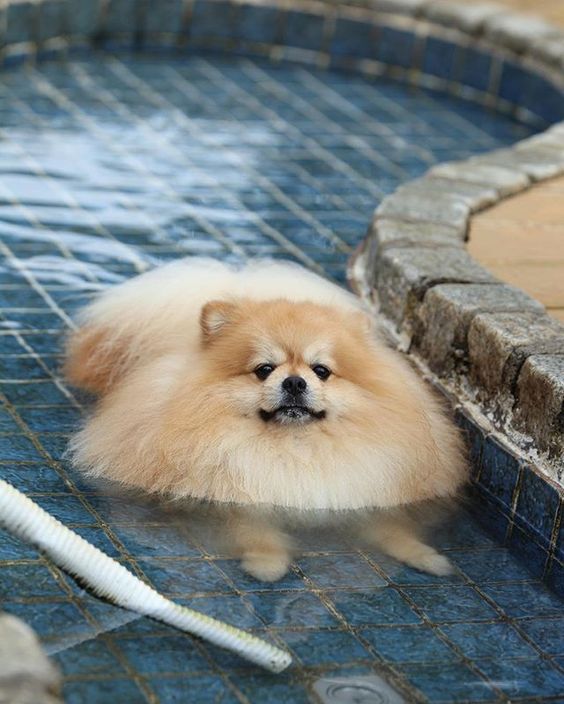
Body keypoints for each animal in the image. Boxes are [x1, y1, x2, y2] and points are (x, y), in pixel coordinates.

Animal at [64, 262, 464, 580]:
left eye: (321, 371)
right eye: (264, 369)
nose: (295, 382)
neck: (295, 449)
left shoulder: (365, 491)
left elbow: (393, 529)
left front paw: (426, 557)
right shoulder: (234, 497)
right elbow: (254, 532)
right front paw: (267, 565)